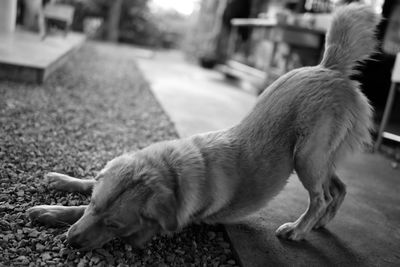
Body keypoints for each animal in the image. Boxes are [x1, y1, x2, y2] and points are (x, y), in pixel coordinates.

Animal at [27, 4, 378, 251]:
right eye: (94, 206)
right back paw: (320, 223)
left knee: (320, 197)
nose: (71, 241)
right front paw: (61, 183)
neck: (170, 171)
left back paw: (299, 229)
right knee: (338, 189)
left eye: (115, 225)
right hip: (319, 158)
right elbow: (89, 181)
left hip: (306, 157)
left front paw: (54, 213)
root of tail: (328, 66)